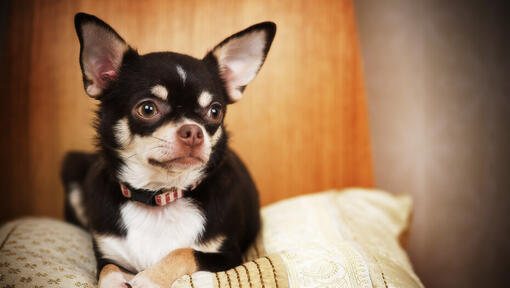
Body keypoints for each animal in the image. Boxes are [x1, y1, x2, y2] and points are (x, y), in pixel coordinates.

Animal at [61, 12, 276, 286]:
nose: (193, 131)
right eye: (147, 109)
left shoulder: (230, 257)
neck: (159, 197)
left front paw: (147, 279)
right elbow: (108, 271)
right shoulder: (107, 257)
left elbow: (183, 252)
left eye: (214, 111)